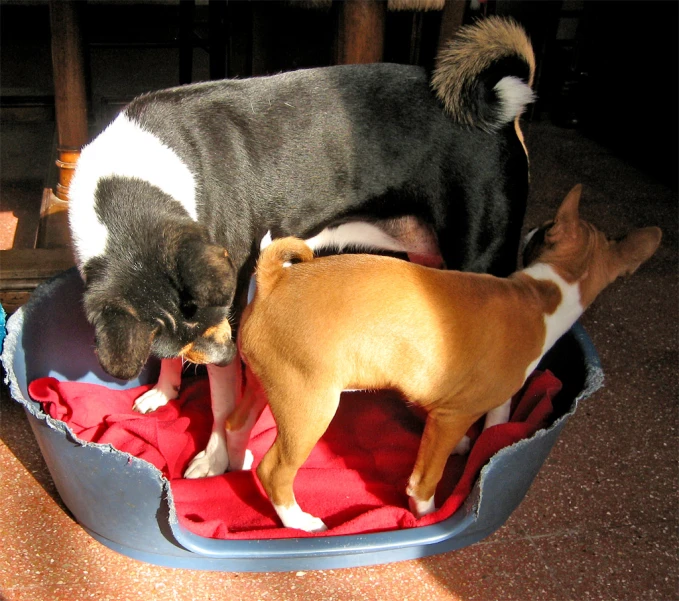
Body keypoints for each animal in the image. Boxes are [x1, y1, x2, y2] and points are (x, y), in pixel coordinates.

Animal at [69, 17, 536, 478]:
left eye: (219, 314)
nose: (228, 357)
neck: (133, 186)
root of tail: (501, 110)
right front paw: (165, 391)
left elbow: (221, 407)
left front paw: (215, 459)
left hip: (481, 261)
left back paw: (492, 441)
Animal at [234, 185, 664, 532]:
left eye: (543, 229)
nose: (530, 229)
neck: (544, 293)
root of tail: (275, 280)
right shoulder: (450, 416)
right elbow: (425, 479)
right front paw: (426, 513)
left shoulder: (467, 400)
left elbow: (497, 420)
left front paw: (483, 445)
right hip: (311, 407)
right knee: (275, 472)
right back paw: (299, 521)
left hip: (264, 387)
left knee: (234, 423)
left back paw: (232, 461)